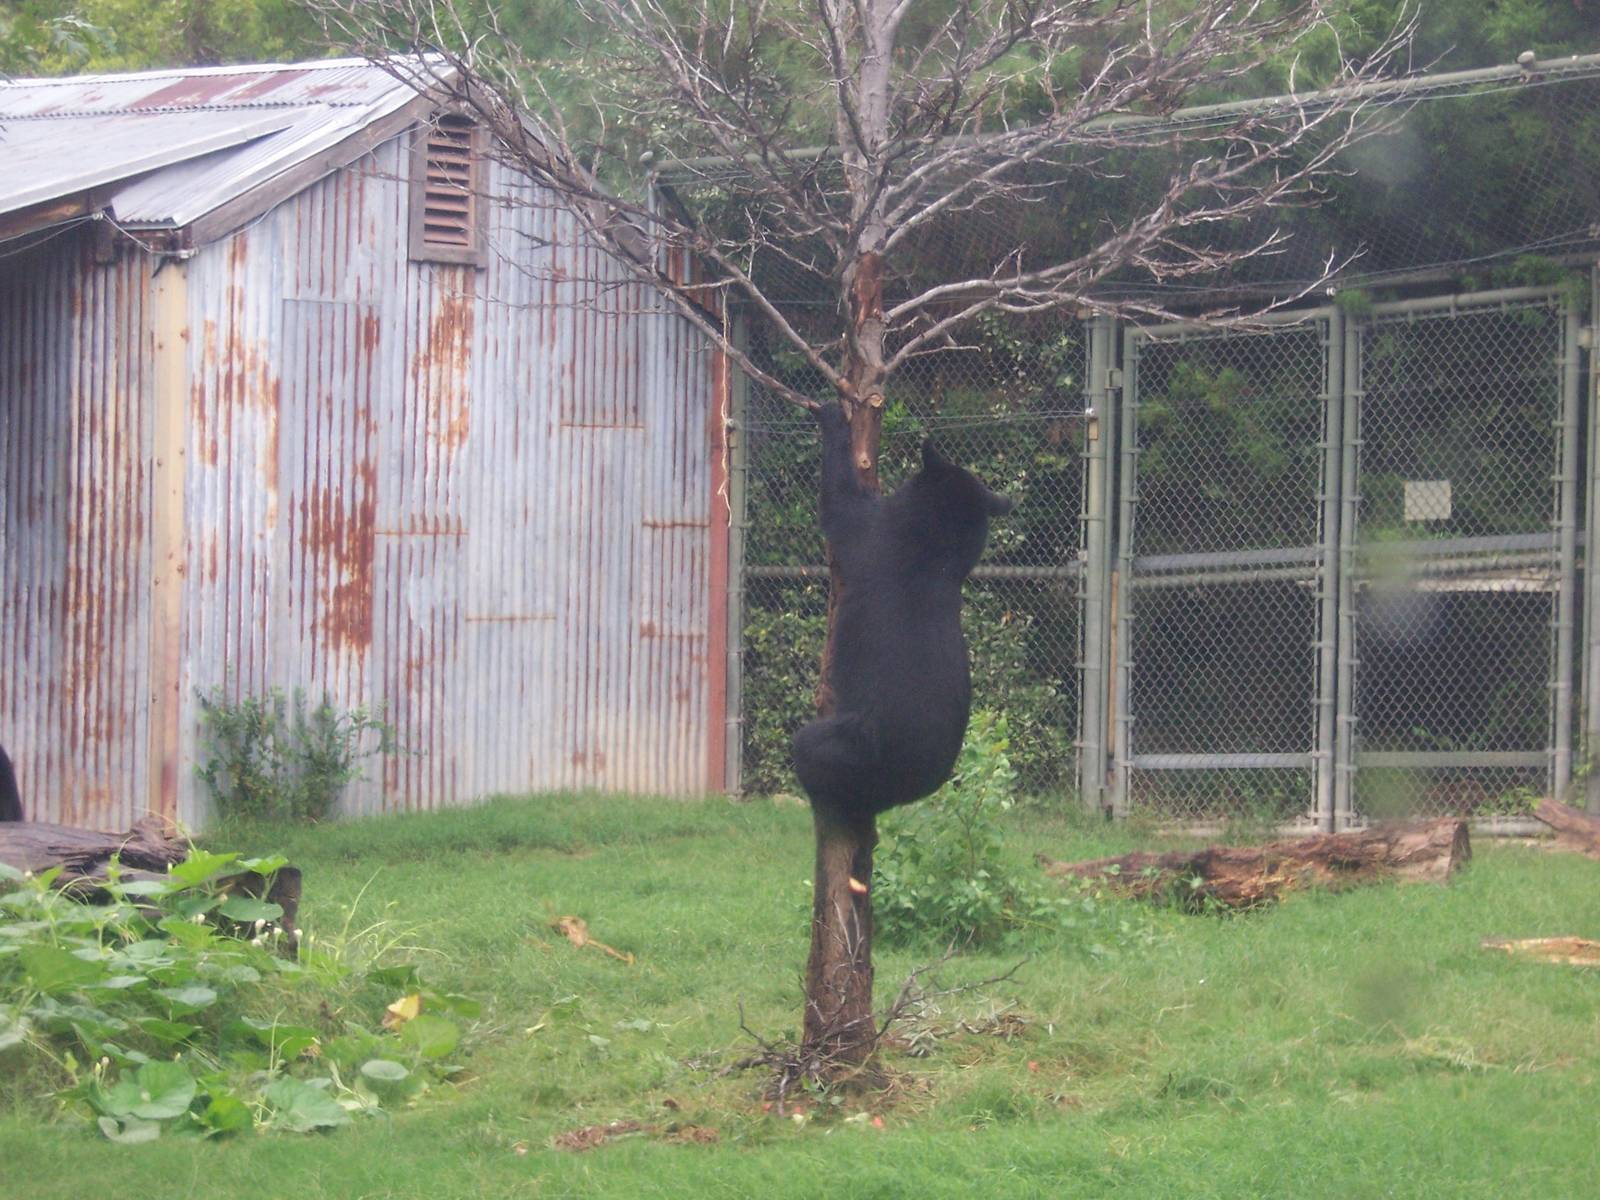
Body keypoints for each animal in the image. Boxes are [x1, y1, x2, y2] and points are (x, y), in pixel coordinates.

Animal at [792, 400, 1013, 833]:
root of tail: (902, 787)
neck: (935, 552)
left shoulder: (872, 534)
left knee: (809, 751)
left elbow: (841, 504)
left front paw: (832, 415)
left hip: (855, 748)